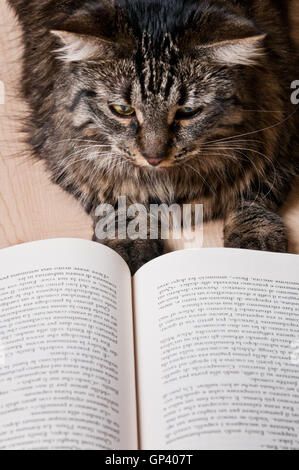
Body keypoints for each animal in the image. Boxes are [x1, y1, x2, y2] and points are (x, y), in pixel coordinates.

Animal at [7, 0, 299, 274]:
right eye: (122, 110)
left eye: (188, 111)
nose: (153, 157)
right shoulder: (63, 150)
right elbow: (116, 196)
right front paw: (129, 241)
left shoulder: (280, 137)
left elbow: (253, 196)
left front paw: (253, 250)